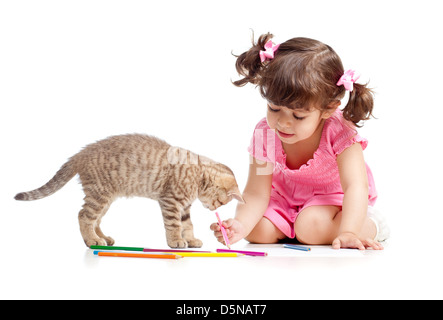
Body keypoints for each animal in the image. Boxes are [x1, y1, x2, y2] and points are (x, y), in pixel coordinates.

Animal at [15, 134, 245, 249]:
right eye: (221, 203)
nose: (212, 210)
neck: (197, 173)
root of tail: (80, 154)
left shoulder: (185, 206)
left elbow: (187, 225)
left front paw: (191, 239)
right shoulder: (170, 201)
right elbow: (174, 225)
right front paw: (176, 241)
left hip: (105, 198)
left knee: (95, 219)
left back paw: (102, 238)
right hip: (99, 194)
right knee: (84, 216)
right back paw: (91, 240)